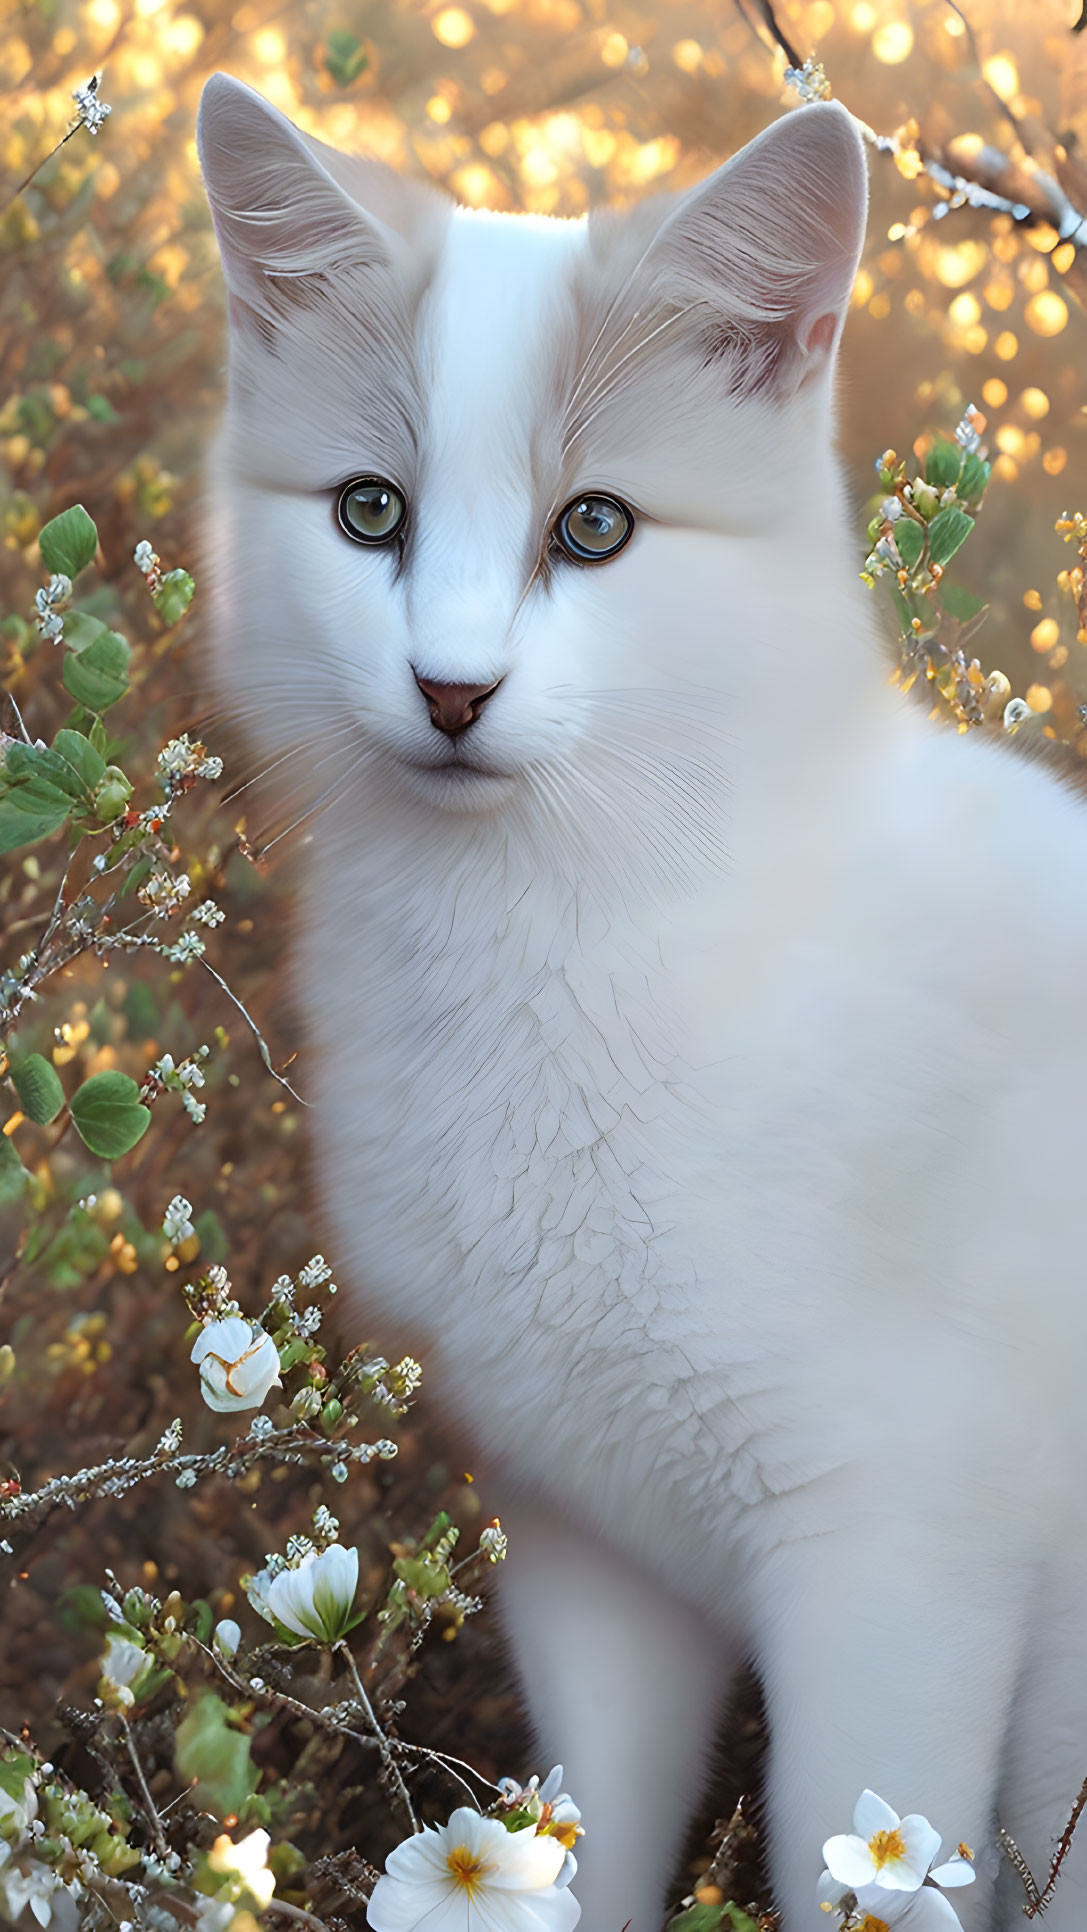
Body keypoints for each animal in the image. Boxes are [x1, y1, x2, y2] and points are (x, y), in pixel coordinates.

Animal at [199, 83, 1087, 1932]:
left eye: (592, 528)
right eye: (369, 513)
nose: (451, 691)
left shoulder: (894, 1565)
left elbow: (859, 1861)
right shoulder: (588, 1554)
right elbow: (573, 1851)